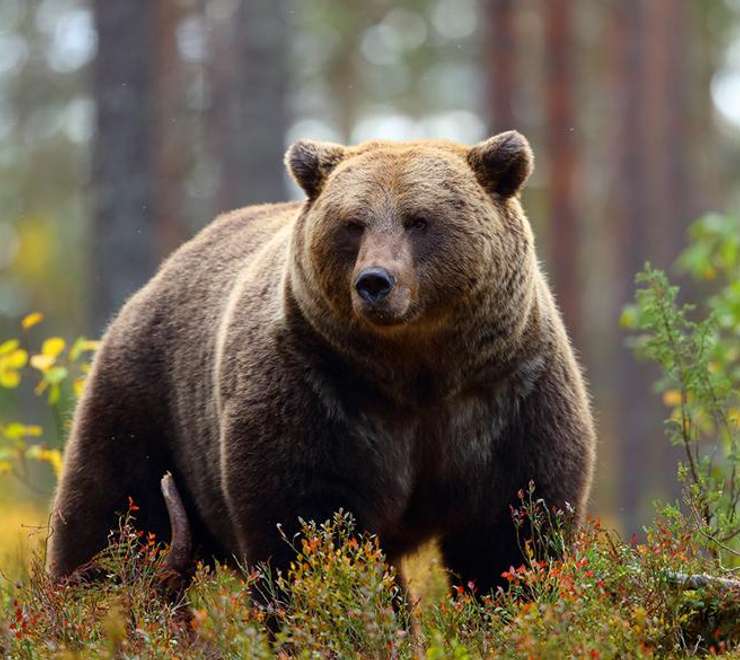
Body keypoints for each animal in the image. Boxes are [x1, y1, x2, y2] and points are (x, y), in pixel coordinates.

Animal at [47, 131, 596, 597]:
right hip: (147, 400)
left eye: (420, 220)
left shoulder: (507, 393)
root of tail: (159, 276)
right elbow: (308, 527)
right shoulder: (318, 390)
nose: (375, 281)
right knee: (112, 516)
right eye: (353, 223)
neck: (418, 371)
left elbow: (512, 533)